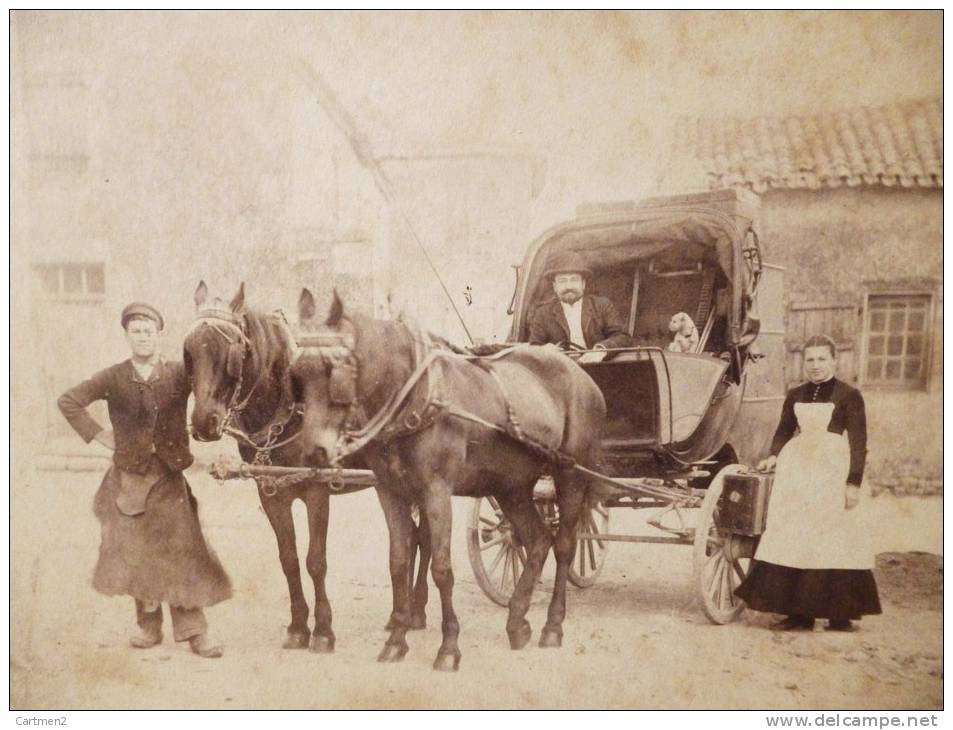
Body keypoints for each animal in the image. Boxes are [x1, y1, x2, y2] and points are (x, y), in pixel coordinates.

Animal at [184, 282, 434, 652]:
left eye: (230, 352)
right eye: (188, 352)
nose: (204, 423)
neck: (288, 406)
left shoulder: (317, 490)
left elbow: (315, 561)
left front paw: (324, 630)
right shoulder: (271, 494)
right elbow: (288, 559)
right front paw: (298, 626)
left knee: (426, 538)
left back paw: (416, 611)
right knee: (411, 538)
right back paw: (397, 617)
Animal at [290, 288, 608, 672]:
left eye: (333, 370)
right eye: (297, 374)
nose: (312, 452)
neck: (415, 397)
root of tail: (582, 377)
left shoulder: (436, 492)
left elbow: (441, 568)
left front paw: (449, 647)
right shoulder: (390, 492)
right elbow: (398, 562)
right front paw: (396, 641)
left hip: (570, 475)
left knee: (563, 547)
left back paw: (552, 625)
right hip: (511, 487)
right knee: (537, 540)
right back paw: (517, 622)